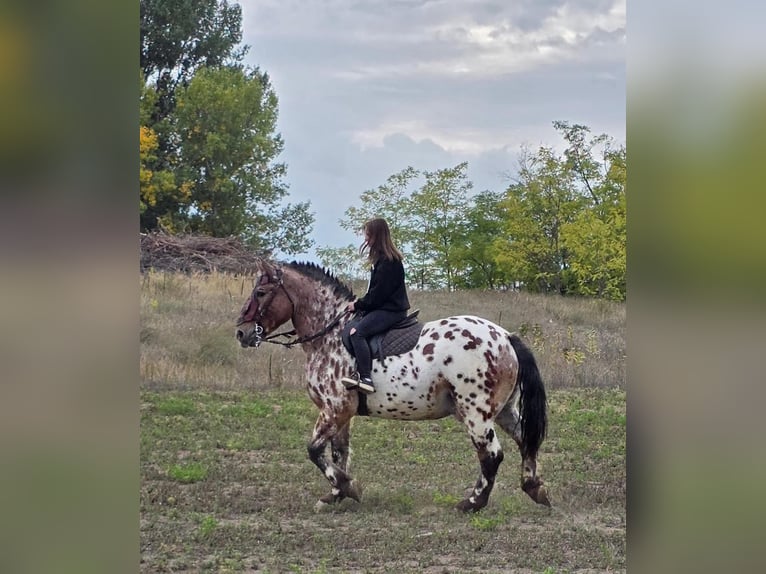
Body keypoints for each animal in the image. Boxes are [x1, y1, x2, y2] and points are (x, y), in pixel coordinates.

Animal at [235, 259, 550, 512]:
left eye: (260, 293)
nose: (242, 333)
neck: (330, 335)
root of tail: (506, 336)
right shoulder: (342, 413)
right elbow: (338, 453)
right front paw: (335, 494)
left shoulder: (334, 408)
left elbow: (314, 451)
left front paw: (348, 487)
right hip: (503, 410)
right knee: (526, 441)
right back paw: (535, 489)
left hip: (476, 413)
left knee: (492, 455)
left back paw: (472, 503)